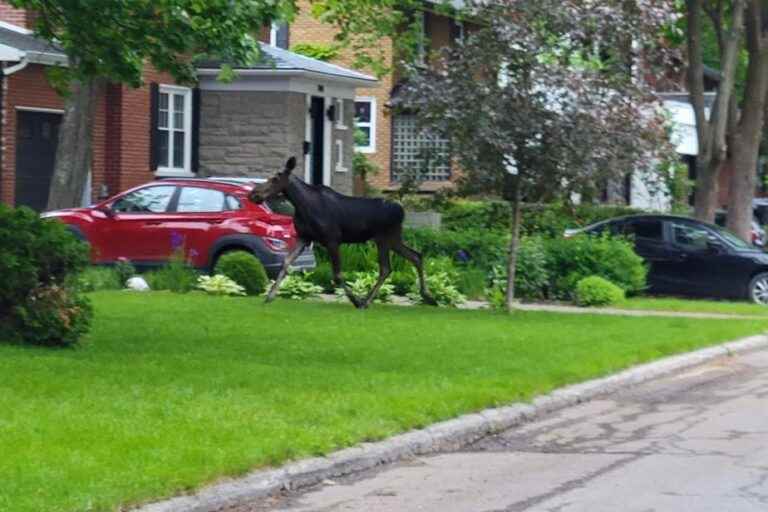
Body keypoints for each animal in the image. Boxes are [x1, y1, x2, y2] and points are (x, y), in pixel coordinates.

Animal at [249, 156, 436, 308]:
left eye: (275, 178)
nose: (253, 194)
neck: (302, 205)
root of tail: (402, 210)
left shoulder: (332, 240)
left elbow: (338, 275)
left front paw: (355, 301)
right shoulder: (304, 237)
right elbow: (286, 263)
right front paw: (269, 296)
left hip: (384, 238)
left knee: (386, 268)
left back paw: (366, 301)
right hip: (393, 239)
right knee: (416, 256)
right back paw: (428, 296)